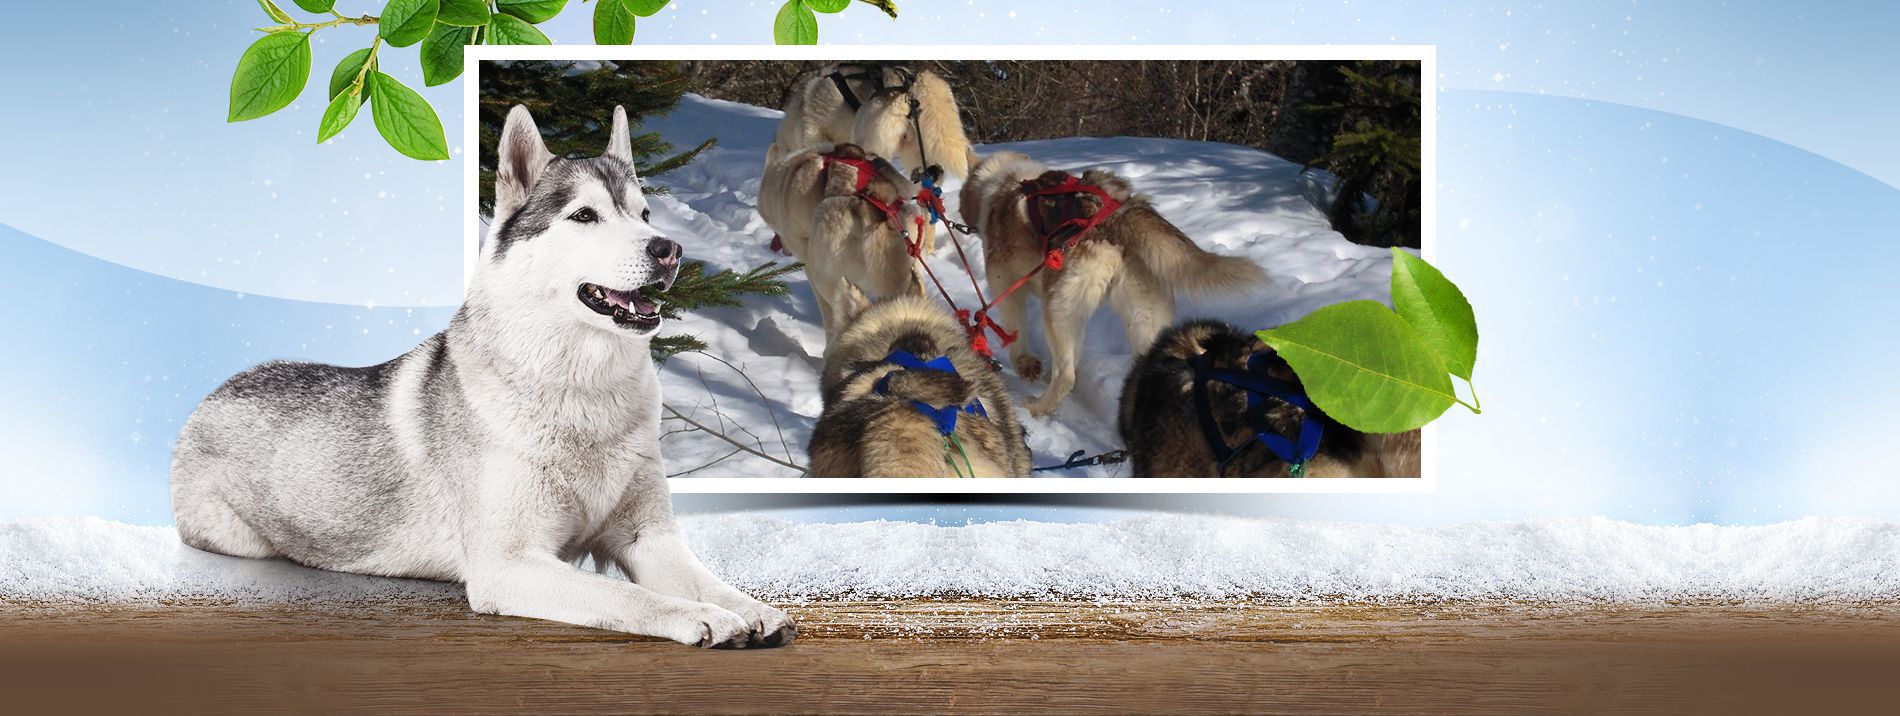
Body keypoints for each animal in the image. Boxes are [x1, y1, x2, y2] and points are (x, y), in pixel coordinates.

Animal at [174, 104, 798, 645]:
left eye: (643, 215)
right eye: (585, 216)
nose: (669, 249)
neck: (582, 391)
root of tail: (220, 388)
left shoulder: (649, 538)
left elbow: (709, 581)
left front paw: (753, 610)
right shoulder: (510, 564)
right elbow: (632, 598)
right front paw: (702, 618)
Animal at [965, 151, 1261, 417]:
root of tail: (1118, 215)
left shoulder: (1006, 286)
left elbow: (1016, 332)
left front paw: (1025, 364)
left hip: (1060, 311)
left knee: (1066, 375)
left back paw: (1039, 406)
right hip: (1143, 317)